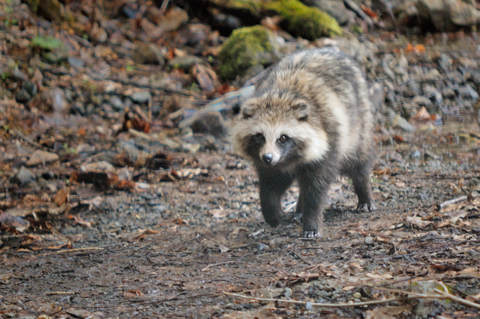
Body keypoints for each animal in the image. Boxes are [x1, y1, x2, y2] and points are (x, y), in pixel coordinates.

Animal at [232, 47, 376, 238]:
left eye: (283, 137)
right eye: (260, 136)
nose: (268, 158)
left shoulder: (330, 140)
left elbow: (316, 189)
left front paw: (311, 222)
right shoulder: (270, 162)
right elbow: (271, 184)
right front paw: (271, 211)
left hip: (359, 125)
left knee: (358, 161)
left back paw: (363, 191)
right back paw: (299, 209)